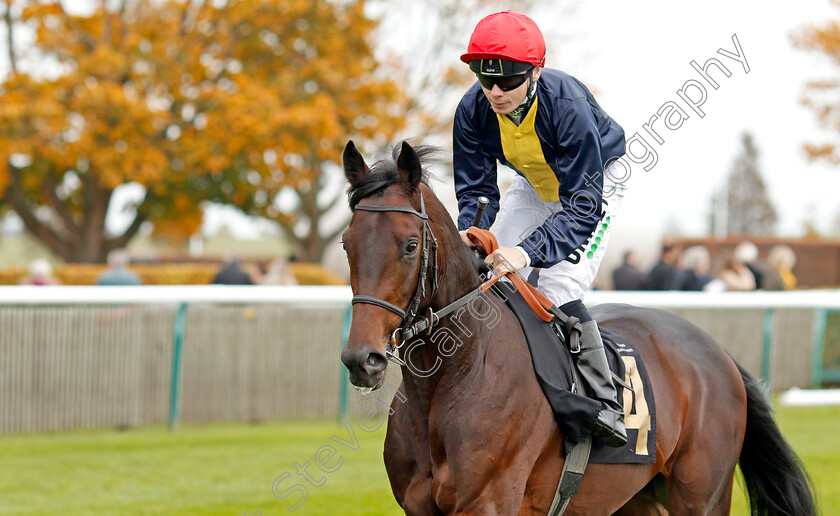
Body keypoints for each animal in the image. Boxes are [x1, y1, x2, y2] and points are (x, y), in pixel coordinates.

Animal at [340, 141, 812, 516]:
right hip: (635, 498)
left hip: (702, 497)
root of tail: (719, 353)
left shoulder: (487, 503)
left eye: (410, 246)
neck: (458, 375)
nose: (362, 359)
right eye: (347, 244)